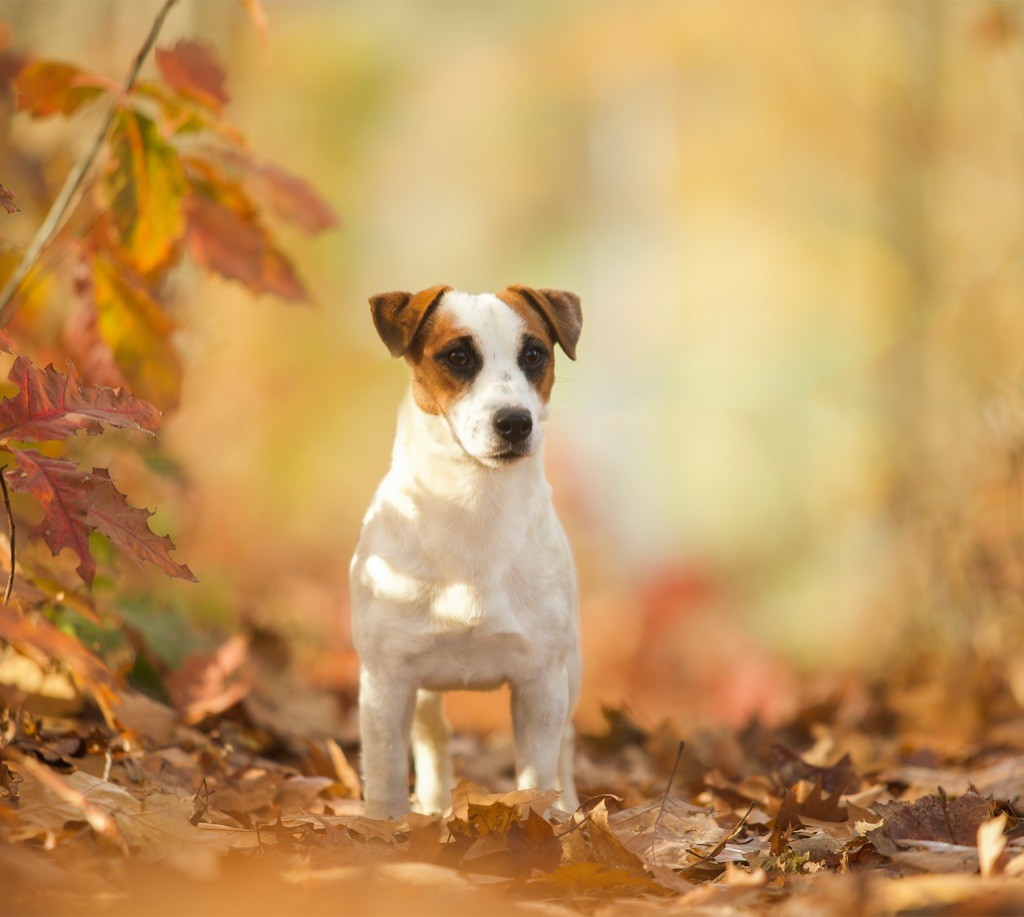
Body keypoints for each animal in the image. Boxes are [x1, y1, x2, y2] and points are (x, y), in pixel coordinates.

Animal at [348, 284, 581, 818]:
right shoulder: (386, 679)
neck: (474, 511)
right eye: (458, 356)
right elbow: (386, 774)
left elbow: (538, 774)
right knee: (433, 737)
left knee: (565, 746)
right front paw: (386, 827)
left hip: (570, 672)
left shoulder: (540, 681)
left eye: (533, 354)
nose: (514, 423)